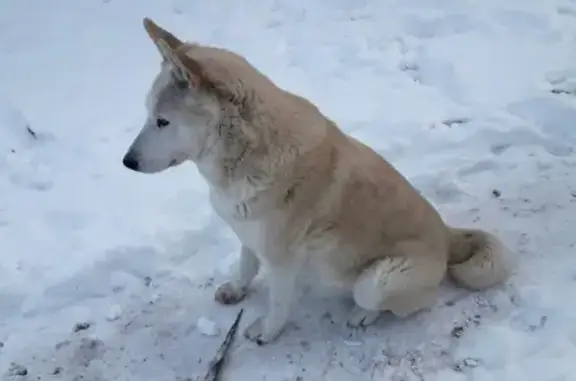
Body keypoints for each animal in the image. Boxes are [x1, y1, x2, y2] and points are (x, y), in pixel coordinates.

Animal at [124, 17, 510, 344]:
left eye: (162, 121)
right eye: (147, 114)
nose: (127, 162)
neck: (247, 153)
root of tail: (446, 235)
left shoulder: (282, 260)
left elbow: (279, 302)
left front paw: (267, 331)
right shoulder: (247, 231)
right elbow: (246, 266)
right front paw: (237, 290)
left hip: (377, 280)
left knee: (385, 300)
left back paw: (362, 315)